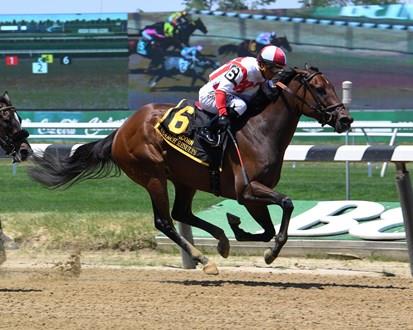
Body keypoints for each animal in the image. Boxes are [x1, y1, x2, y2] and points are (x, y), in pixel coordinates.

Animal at [29, 65, 350, 274]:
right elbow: (286, 204)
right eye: (319, 88)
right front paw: (268, 252)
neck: (260, 131)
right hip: (153, 175)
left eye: (334, 87)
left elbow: (268, 227)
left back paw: (219, 241)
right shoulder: (247, 189)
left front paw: (236, 230)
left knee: (181, 212)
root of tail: (120, 131)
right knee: (165, 221)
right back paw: (203, 259)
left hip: (185, 179)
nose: (345, 119)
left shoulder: (251, 195)